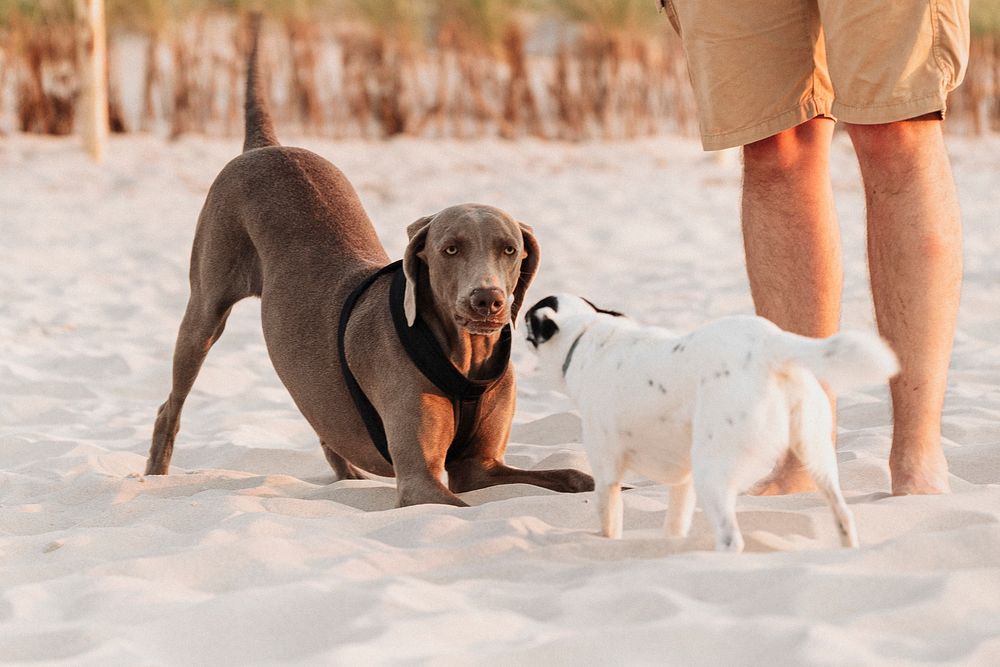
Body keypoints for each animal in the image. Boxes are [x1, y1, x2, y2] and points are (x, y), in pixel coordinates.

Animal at [143, 15, 592, 506]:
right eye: (450, 248)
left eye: (509, 249)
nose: (487, 300)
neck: (464, 354)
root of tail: (266, 145)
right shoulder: (419, 479)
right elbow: (457, 504)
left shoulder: (482, 466)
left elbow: (574, 476)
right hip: (205, 309)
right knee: (170, 405)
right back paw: (154, 477)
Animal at [524, 296, 900, 552]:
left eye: (528, 320)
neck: (587, 335)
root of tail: (769, 343)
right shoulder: (682, 482)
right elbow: (674, 525)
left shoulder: (606, 474)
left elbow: (609, 523)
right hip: (817, 455)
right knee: (843, 515)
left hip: (713, 471)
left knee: (731, 537)